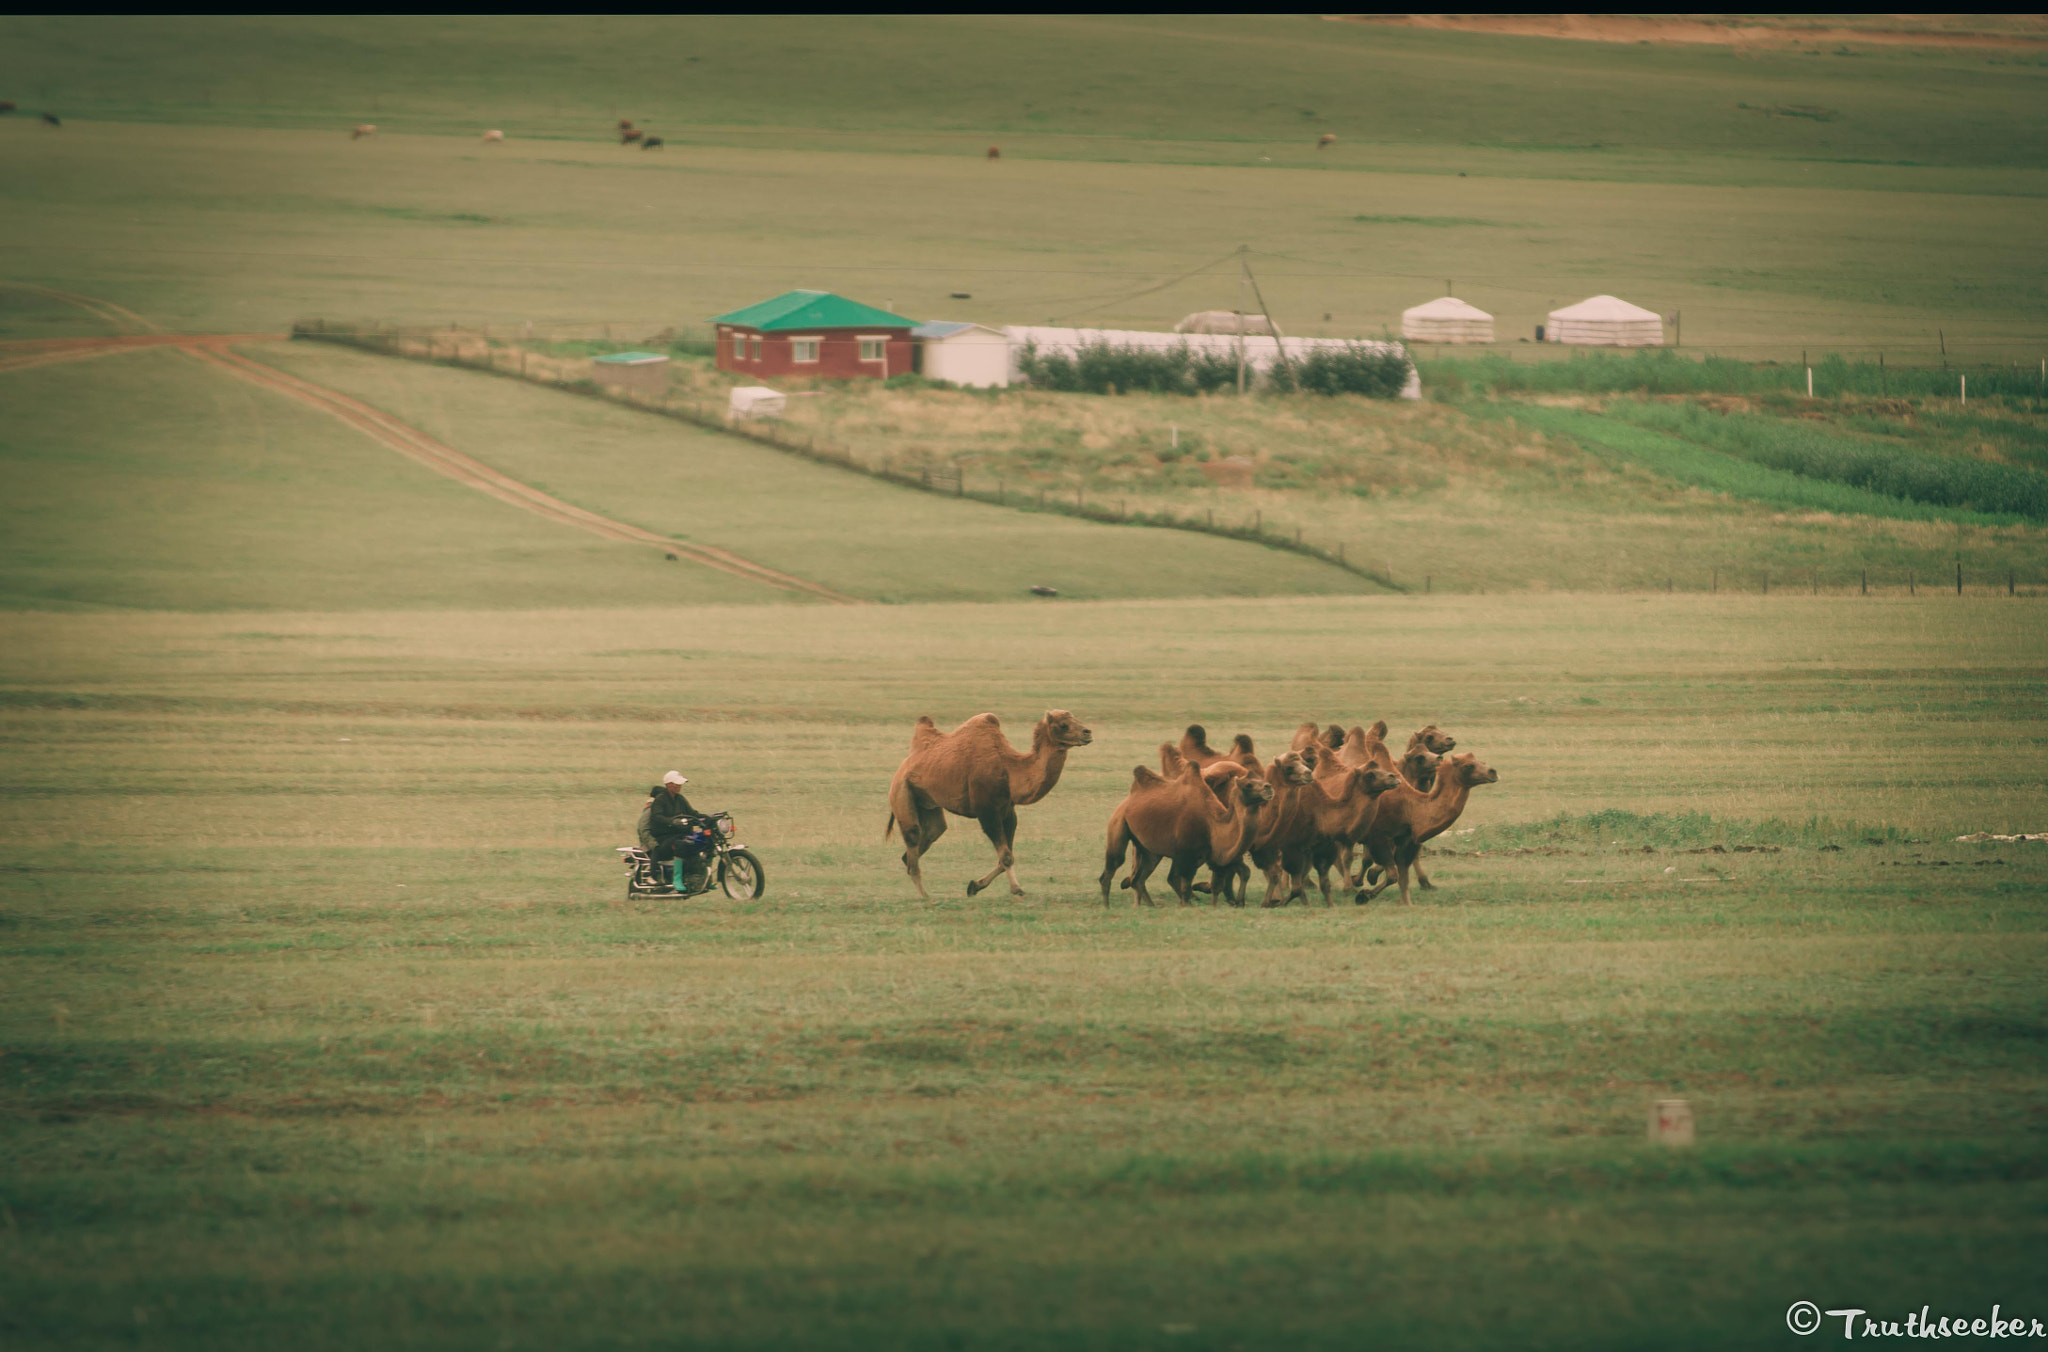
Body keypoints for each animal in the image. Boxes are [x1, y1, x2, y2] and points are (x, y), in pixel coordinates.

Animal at [886, 710, 1091, 899]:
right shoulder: (987, 812)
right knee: (913, 836)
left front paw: (974, 886)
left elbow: (1006, 856)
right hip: (902, 791)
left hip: (928, 803)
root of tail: (904, 766)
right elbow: (1006, 856)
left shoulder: (1008, 811)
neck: (1008, 769)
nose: (1087, 732)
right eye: (1063, 724)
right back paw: (926, 897)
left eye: (1075, 718)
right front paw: (1016, 889)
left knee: (930, 834)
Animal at [1101, 751, 1273, 907]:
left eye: (1262, 779)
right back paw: (1106, 907)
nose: (1269, 787)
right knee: (1113, 866)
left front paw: (1237, 902)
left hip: (1151, 850)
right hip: (1118, 824)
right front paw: (1188, 906)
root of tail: (1128, 800)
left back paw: (1151, 906)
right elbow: (1184, 883)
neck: (1212, 824)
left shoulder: (1207, 855)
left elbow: (1231, 876)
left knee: (1139, 879)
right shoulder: (1186, 854)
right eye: (1249, 785)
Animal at [1360, 753, 1499, 906]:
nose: (1493, 772)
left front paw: (1407, 903)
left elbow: (1402, 877)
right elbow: (1391, 873)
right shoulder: (1378, 837)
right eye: (1468, 765)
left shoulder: (1405, 839)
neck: (1410, 809)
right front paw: (1364, 894)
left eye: (1482, 761)